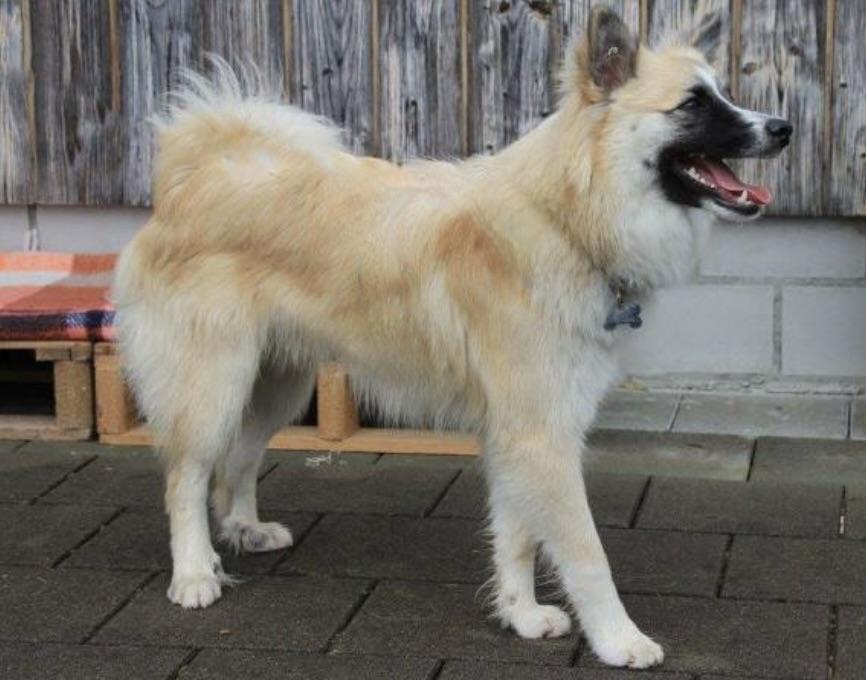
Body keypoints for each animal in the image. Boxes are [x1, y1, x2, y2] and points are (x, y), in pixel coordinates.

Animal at [113, 9, 788, 668]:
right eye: (694, 104)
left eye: (723, 93)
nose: (783, 128)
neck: (566, 217)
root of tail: (190, 178)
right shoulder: (542, 437)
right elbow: (586, 555)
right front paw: (618, 640)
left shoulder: (516, 435)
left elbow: (516, 537)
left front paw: (519, 615)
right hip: (214, 383)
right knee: (187, 476)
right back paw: (195, 573)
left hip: (278, 385)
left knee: (239, 461)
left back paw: (243, 530)